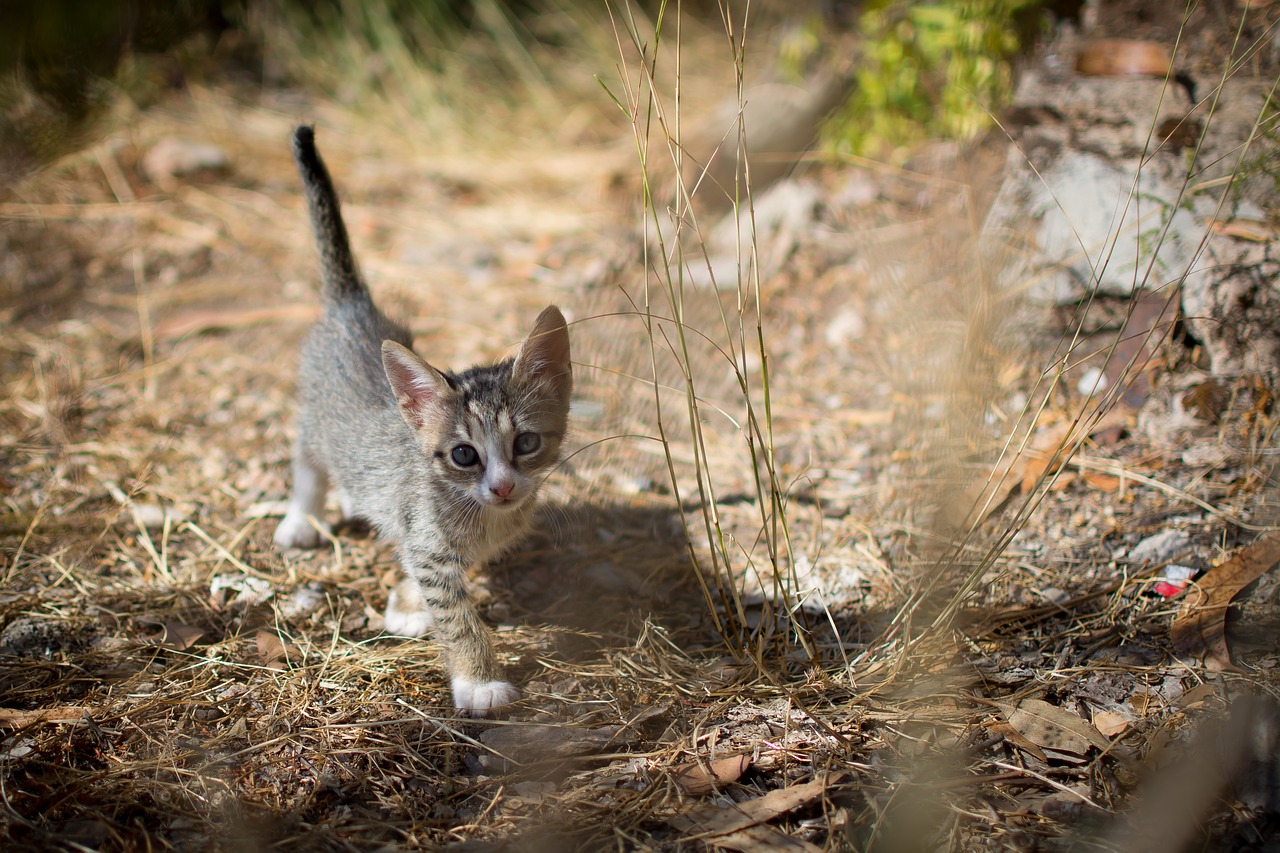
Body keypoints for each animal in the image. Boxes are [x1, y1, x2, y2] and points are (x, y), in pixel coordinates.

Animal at [277, 124, 573, 712]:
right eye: (464, 455)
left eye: (526, 443)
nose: (503, 487)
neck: (483, 515)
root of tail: (351, 305)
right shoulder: (433, 547)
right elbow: (458, 617)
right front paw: (478, 680)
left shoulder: (432, 544)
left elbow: (420, 566)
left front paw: (407, 601)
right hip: (313, 419)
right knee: (305, 461)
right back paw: (301, 516)